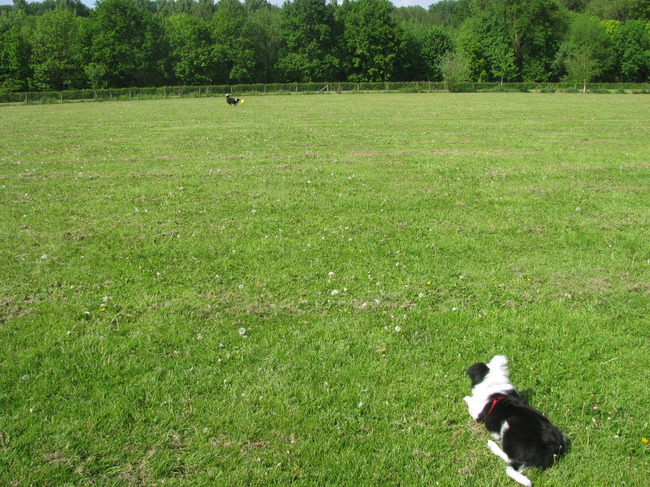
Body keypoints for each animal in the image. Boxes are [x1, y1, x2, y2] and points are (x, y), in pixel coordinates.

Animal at [464, 355, 566, 487]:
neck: (494, 386)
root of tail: (549, 450)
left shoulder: (478, 414)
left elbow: (471, 404)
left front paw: (467, 398)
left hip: (508, 426)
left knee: (509, 458)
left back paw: (492, 445)